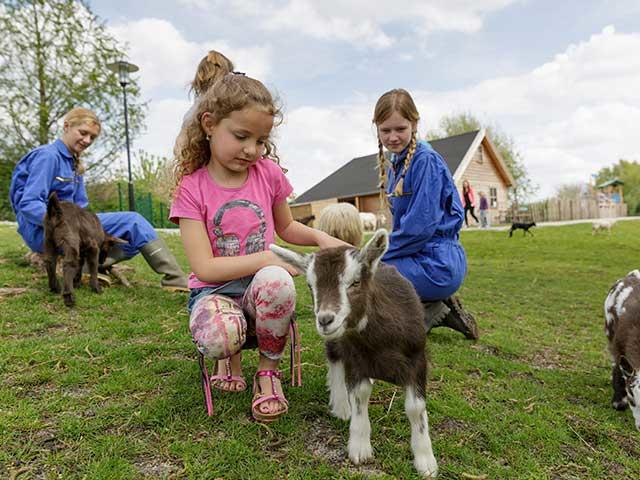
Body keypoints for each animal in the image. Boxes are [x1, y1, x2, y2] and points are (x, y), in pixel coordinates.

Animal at [270, 231, 440, 478]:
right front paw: (360, 447)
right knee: (335, 360)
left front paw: (425, 461)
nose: (325, 320)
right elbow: (359, 394)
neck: (380, 340)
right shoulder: (356, 359)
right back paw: (341, 404)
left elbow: (416, 408)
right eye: (311, 286)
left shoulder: (417, 359)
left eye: (355, 282)